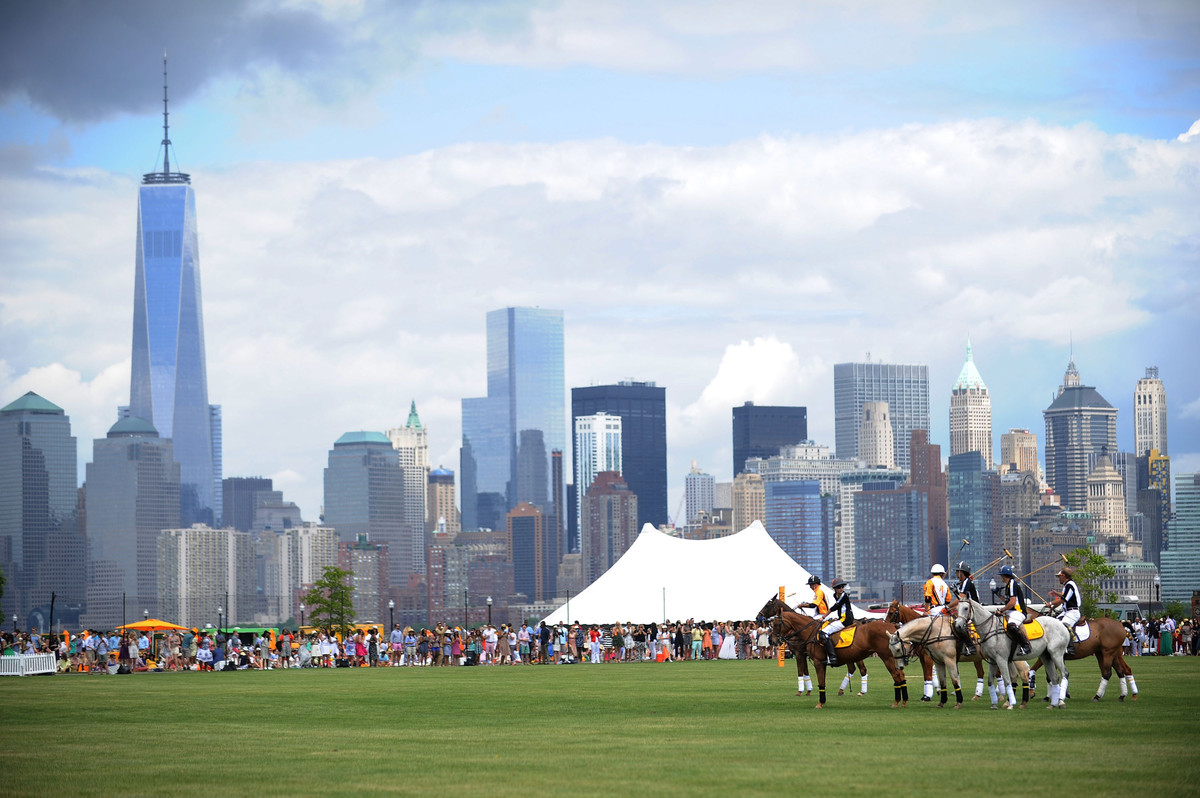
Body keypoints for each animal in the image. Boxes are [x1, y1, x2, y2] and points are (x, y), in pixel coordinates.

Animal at [758, 595, 907, 705]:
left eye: (776, 623)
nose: (773, 640)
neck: (807, 631)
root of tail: (894, 627)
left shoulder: (806, 656)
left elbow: (806, 674)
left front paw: (806, 693)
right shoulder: (805, 655)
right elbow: (806, 672)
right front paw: (808, 691)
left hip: (885, 657)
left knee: (887, 674)